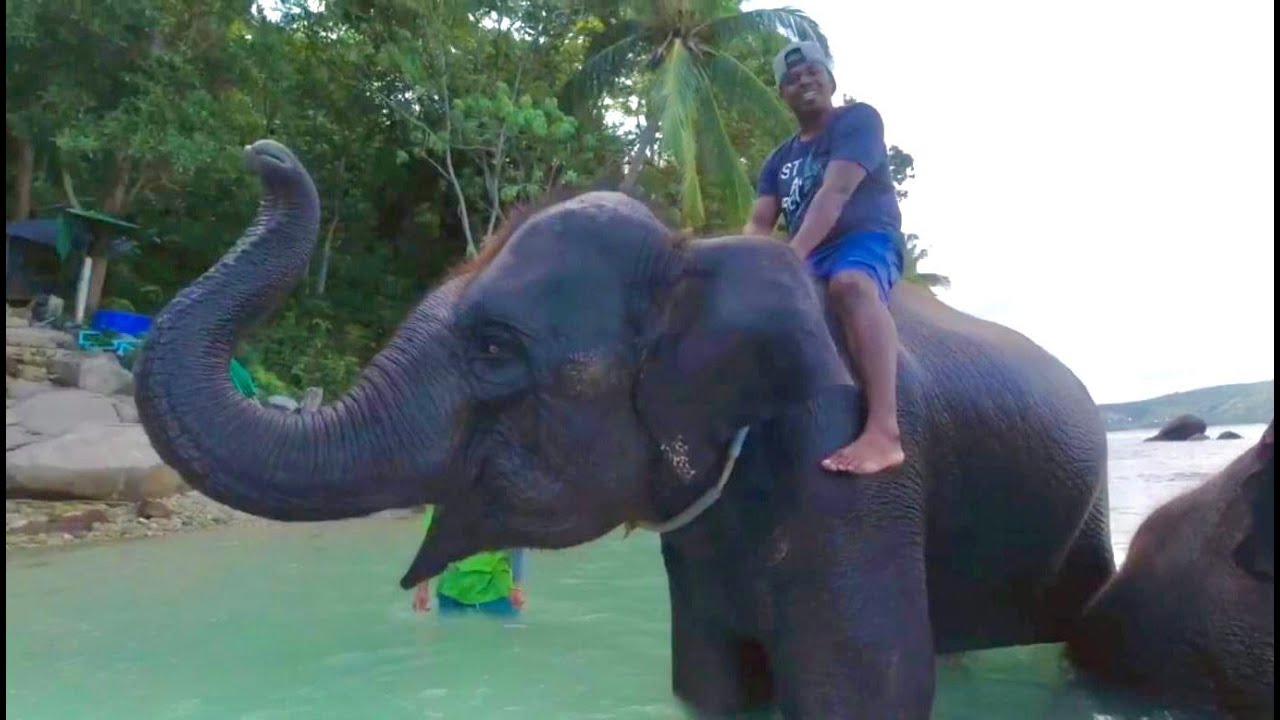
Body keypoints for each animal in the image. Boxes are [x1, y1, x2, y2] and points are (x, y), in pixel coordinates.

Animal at [134, 140, 1116, 719]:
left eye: (494, 347)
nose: (263, 155)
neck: (694, 250)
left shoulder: (847, 471)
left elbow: (861, 691)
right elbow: (708, 684)